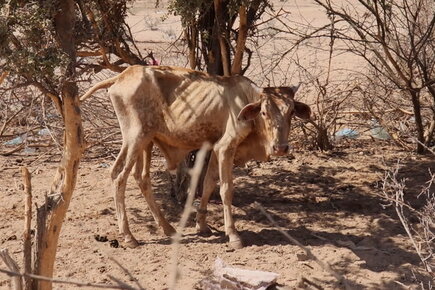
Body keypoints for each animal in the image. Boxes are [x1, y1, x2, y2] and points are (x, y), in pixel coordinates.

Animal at [82, 65, 312, 249]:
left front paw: (202, 225)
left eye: (291, 112)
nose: (280, 148)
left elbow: (209, 184)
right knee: (119, 177)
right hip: (134, 138)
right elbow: (226, 190)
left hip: (146, 141)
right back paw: (129, 237)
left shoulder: (215, 148)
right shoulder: (226, 147)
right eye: (264, 112)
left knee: (141, 178)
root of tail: (122, 75)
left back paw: (168, 228)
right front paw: (233, 235)